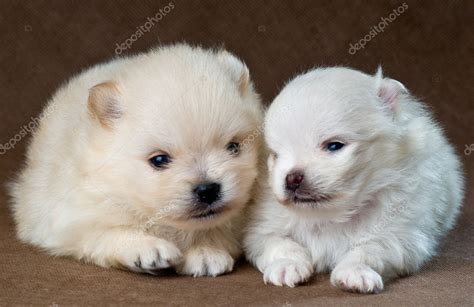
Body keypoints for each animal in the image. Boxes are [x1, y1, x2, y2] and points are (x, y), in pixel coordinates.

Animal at [10, 43, 262, 276]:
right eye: (159, 160)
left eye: (233, 147)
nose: (208, 189)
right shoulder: (70, 219)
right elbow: (108, 232)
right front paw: (146, 248)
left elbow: (216, 229)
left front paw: (205, 250)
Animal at [246, 67, 464, 294]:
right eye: (275, 155)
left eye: (334, 146)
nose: (292, 178)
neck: (331, 216)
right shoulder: (261, 229)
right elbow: (280, 244)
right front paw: (287, 265)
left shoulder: (401, 236)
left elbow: (369, 249)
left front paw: (354, 272)